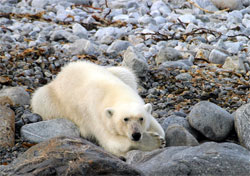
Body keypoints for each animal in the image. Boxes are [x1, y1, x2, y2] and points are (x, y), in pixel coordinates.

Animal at [30, 60, 164, 157]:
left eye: (141, 118)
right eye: (125, 119)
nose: (136, 135)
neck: (115, 94)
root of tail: (60, 74)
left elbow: (158, 128)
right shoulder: (96, 116)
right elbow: (111, 142)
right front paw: (154, 141)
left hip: (115, 71)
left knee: (126, 72)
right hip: (53, 99)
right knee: (41, 100)